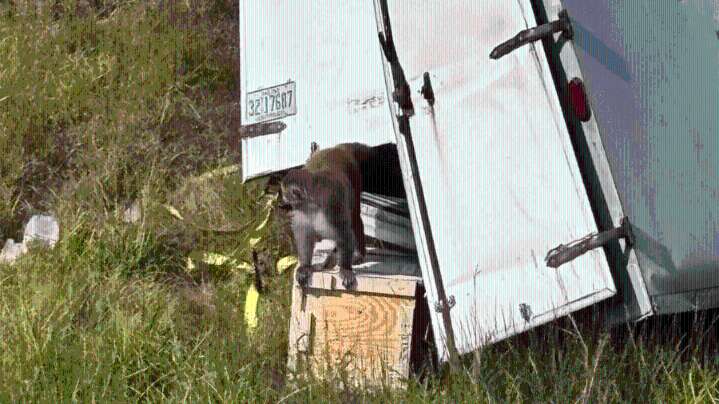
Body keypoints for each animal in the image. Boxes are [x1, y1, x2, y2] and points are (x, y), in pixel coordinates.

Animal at [279, 142, 374, 289]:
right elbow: (304, 235)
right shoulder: (302, 212)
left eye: (286, 194)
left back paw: (358, 254)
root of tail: (337, 148)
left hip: (354, 175)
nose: (283, 199)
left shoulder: (331, 205)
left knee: (354, 217)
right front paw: (305, 266)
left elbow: (344, 234)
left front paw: (345, 269)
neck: (311, 205)